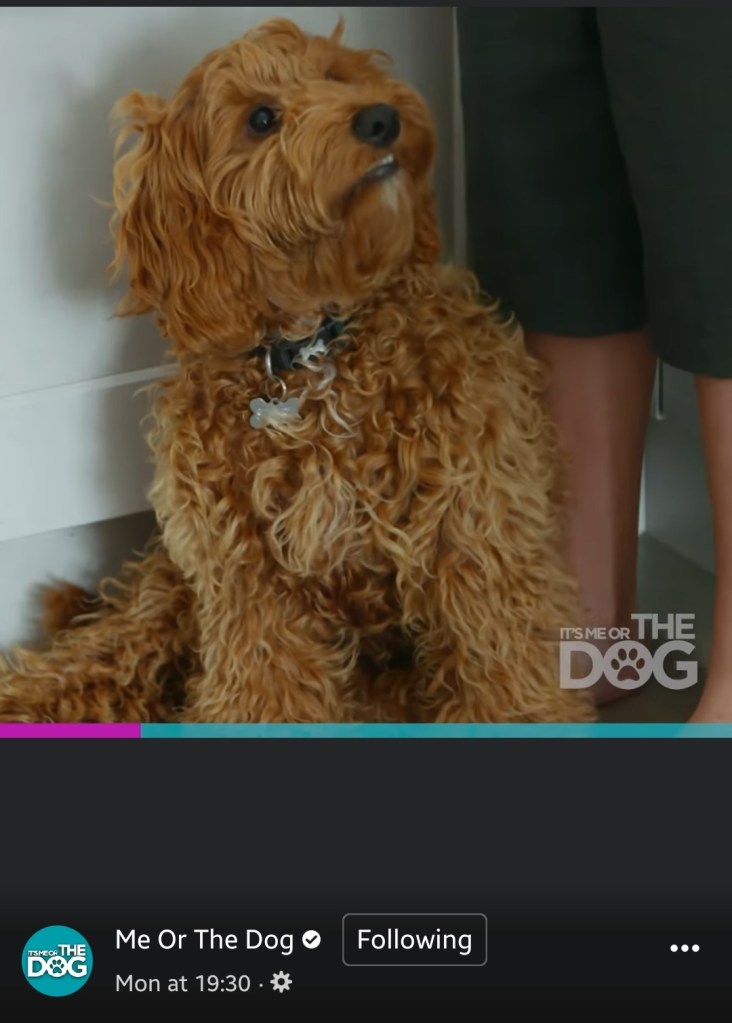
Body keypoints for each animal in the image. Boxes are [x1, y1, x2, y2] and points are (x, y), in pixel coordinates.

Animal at [0, 18, 594, 723]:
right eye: (261, 118)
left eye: (335, 76)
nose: (380, 119)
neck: (312, 354)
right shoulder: (246, 584)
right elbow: (265, 694)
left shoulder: (477, 544)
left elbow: (504, 679)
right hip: (174, 594)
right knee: (100, 656)